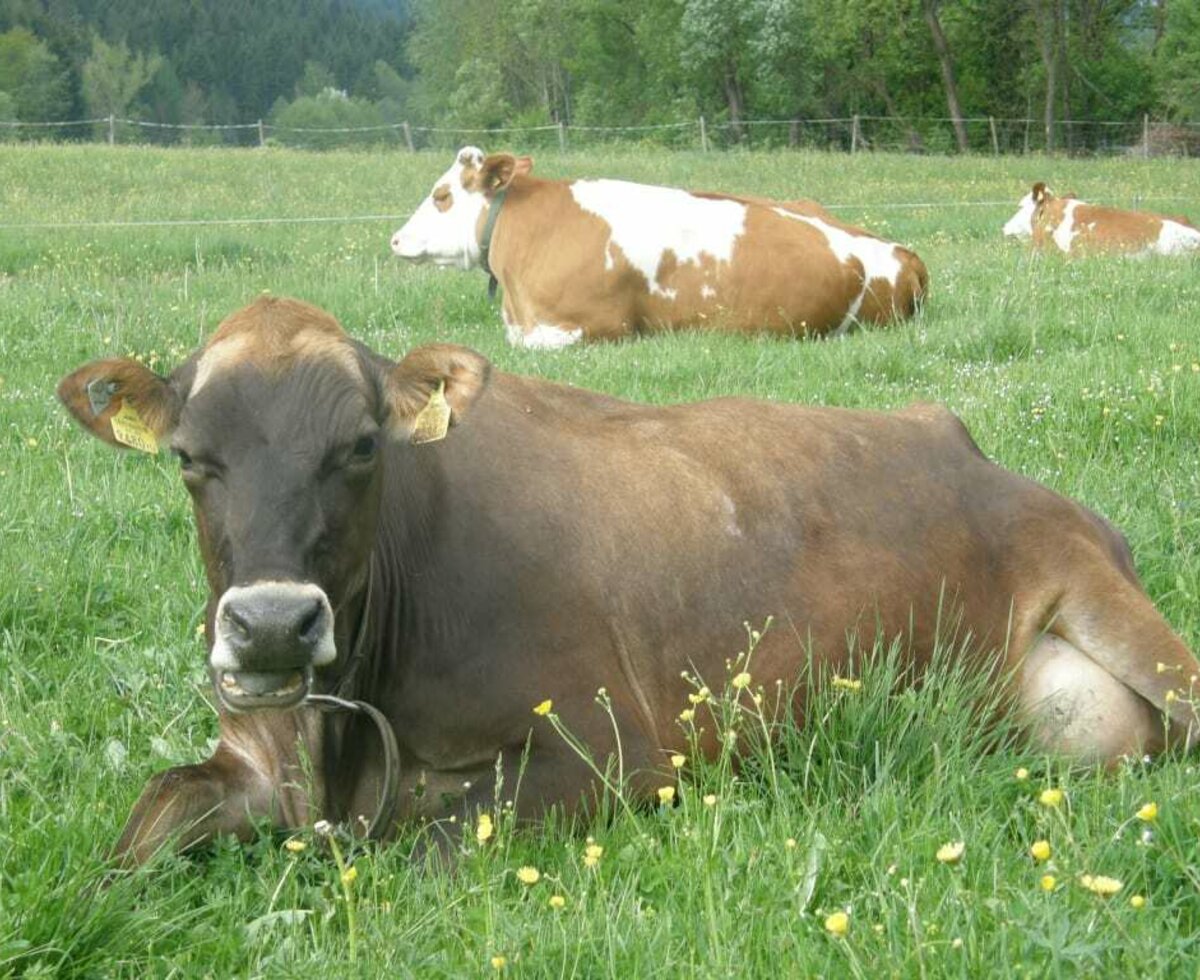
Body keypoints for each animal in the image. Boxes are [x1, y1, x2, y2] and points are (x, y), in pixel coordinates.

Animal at [58, 296, 1200, 863]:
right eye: (190, 457)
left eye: (363, 447)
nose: (270, 625)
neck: (340, 743)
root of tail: (965, 440)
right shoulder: (251, 753)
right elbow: (138, 832)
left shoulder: (615, 752)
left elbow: (404, 851)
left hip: (1115, 611)